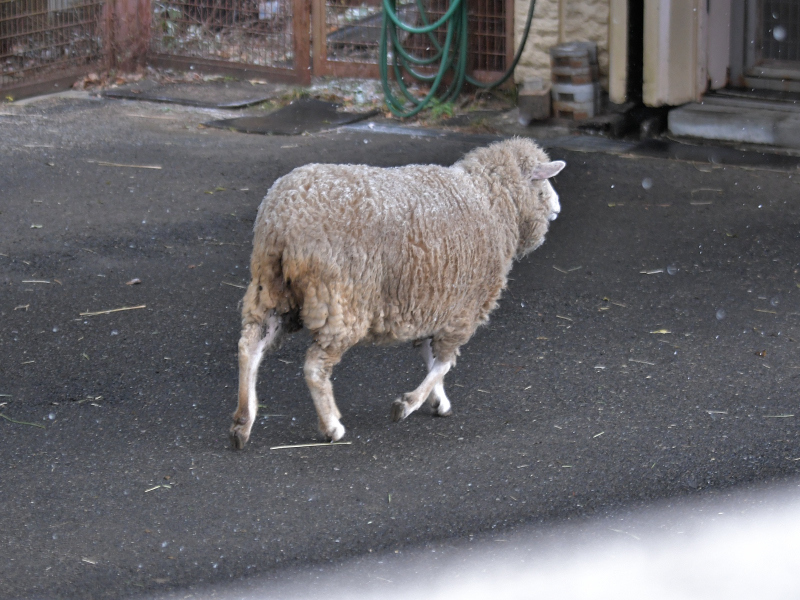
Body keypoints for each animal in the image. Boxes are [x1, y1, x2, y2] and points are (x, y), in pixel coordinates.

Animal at [228, 138, 564, 448]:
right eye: (543, 181)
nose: (558, 208)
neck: (492, 201)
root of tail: (283, 222)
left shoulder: (435, 305)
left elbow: (430, 357)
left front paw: (437, 401)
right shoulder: (463, 309)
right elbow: (443, 363)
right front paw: (408, 404)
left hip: (270, 289)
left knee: (250, 347)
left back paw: (243, 422)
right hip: (339, 300)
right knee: (314, 367)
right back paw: (331, 426)